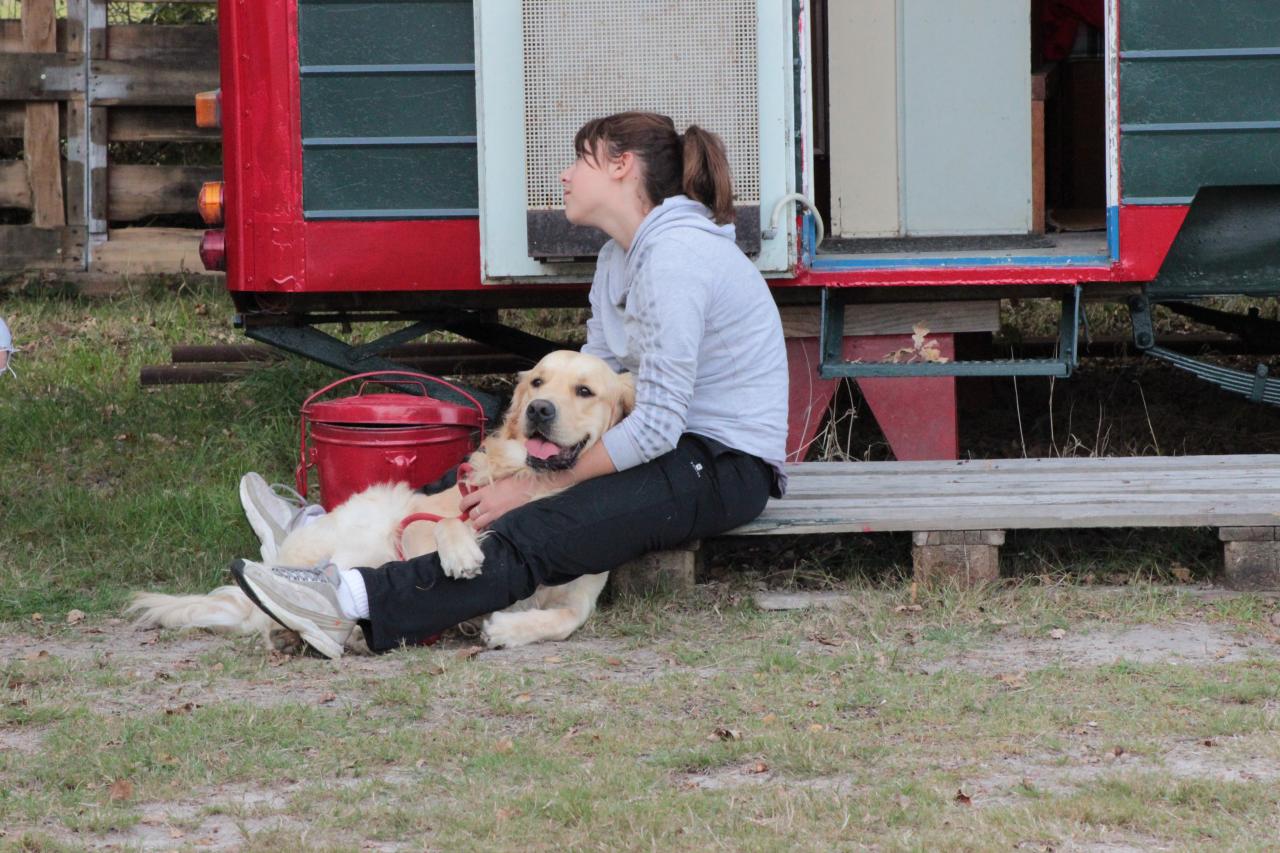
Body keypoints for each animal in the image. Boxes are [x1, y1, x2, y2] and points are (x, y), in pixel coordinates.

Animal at [129, 348, 634, 648]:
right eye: (537, 383)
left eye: (584, 390)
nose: (538, 410)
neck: (538, 484)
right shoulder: (428, 519)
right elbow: (447, 523)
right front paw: (461, 553)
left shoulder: (581, 594)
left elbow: (566, 619)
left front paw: (508, 628)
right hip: (371, 519)